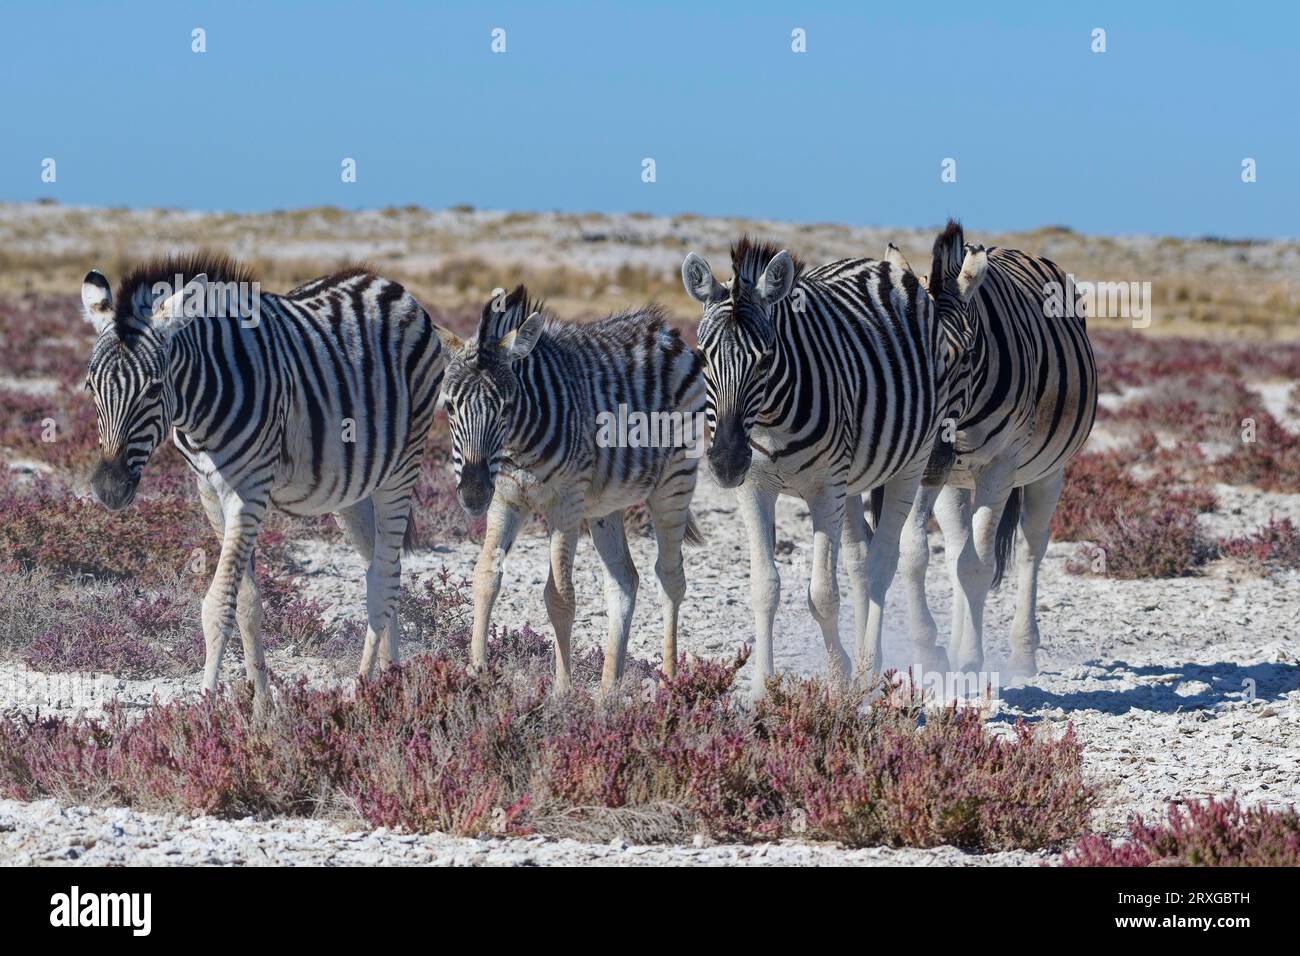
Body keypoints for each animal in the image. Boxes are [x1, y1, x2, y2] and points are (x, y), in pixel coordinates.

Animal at [82, 254, 447, 702]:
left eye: (153, 389)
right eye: (90, 387)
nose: (109, 489)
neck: (201, 402)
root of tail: (385, 283)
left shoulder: (248, 491)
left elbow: (218, 605)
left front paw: (206, 707)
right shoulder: (209, 491)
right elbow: (246, 604)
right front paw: (262, 708)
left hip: (402, 468)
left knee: (382, 578)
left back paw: (364, 688)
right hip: (355, 489)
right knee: (382, 565)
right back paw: (391, 677)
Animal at [434, 286, 702, 697]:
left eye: (506, 408)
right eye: (449, 407)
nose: (474, 494)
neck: (517, 446)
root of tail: (664, 330)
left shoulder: (566, 505)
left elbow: (559, 596)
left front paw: (563, 691)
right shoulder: (506, 500)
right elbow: (485, 578)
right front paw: (475, 674)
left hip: (675, 482)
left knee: (671, 577)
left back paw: (671, 684)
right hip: (606, 507)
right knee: (624, 581)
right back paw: (608, 692)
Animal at [681, 238, 946, 702]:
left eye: (765, 359)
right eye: (701, 357)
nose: (726, 463)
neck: (770, 420)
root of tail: (873, 263)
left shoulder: (825, 488)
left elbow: (822, 595)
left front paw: (838, 681)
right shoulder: (754, 488)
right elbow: (764, 588)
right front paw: (761, 690)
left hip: (911, 463)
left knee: (881, 564)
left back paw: (867, 672)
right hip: (854, 481)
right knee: (860, 562)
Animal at [899, 218, 1102, 681]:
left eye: (968, 354)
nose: (933, 455)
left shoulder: (998, 469)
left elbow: (978, 566)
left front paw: (972, 660)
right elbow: (917, 551)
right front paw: (928, 650)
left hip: (1047, 471)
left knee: (1031, 546)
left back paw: (1022, 654)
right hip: (955, 482)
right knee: (957, 549)